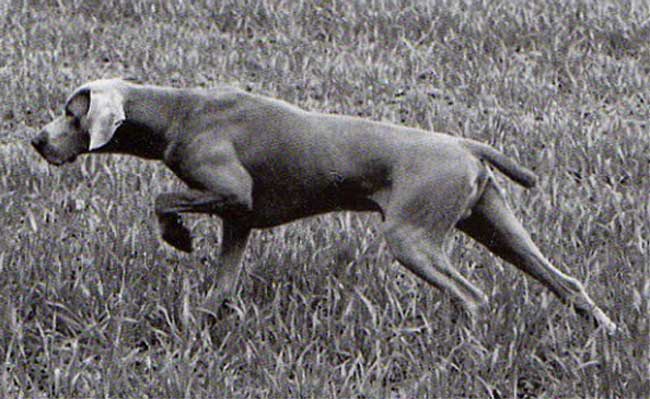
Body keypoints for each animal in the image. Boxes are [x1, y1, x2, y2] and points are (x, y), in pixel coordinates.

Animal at [30, 79, 616, 334]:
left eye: (71, 114)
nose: (36, 141)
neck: (180, 110)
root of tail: (464, 145)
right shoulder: (239, 220)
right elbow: (223, 283)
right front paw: (200, 327)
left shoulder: (232, 193)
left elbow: (162, 198)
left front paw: (176, 234)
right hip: (492, 222)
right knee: (566, 281)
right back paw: (605, 333)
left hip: (411, 237)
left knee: (472, 295)